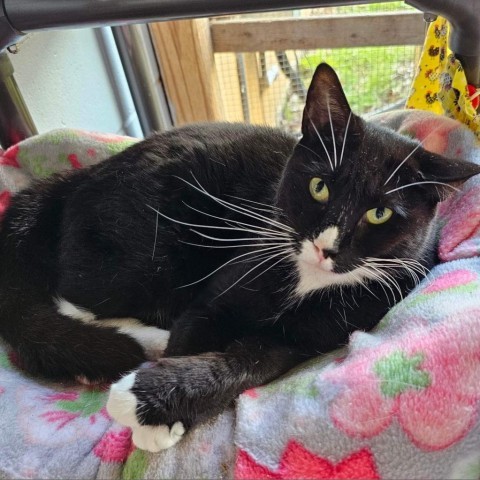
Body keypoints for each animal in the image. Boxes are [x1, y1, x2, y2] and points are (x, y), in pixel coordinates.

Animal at [0, 63, 480, 450]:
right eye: (319, 186)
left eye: (379, 214)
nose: (325, 247)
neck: (307, 281)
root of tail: (75, 178)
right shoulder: (226, 285)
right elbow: (192, 331)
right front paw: (158, 412)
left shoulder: (310, 335)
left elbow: (250, 363)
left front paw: (155, 406)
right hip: (146, 256)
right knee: (71, 296)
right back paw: (142, 339)